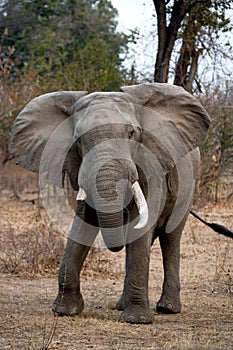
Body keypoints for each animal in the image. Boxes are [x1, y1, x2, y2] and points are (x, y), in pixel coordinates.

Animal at [9, 83, 210, 324]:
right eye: (78, 140)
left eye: (132, 133)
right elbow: (82, 225)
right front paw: (65, 310)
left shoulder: (152, 165)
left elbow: (141, 227)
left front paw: (136, 320)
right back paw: (122, 305)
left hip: (187, 187)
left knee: (171, 236)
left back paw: (168, 308)